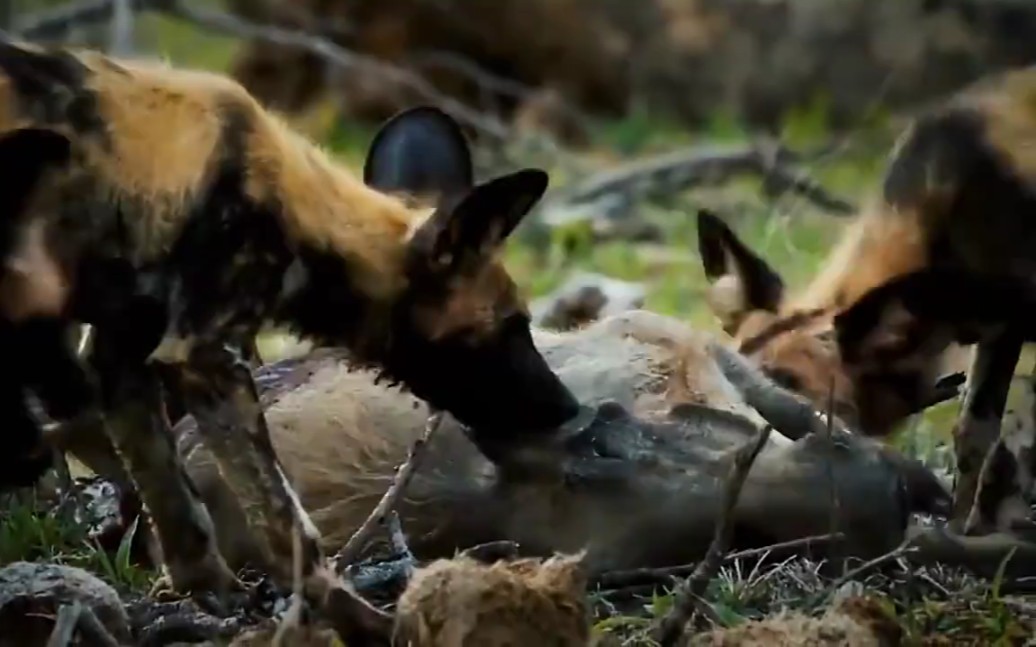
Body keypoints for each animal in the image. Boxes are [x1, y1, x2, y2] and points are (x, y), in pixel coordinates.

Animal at [0, 36, 576, 608]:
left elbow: (176, 508)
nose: (569, 407)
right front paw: (354, 617)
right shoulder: (205, 357)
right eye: (512, 327)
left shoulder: (121, 360)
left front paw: (211, 593)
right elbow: (291, 533)